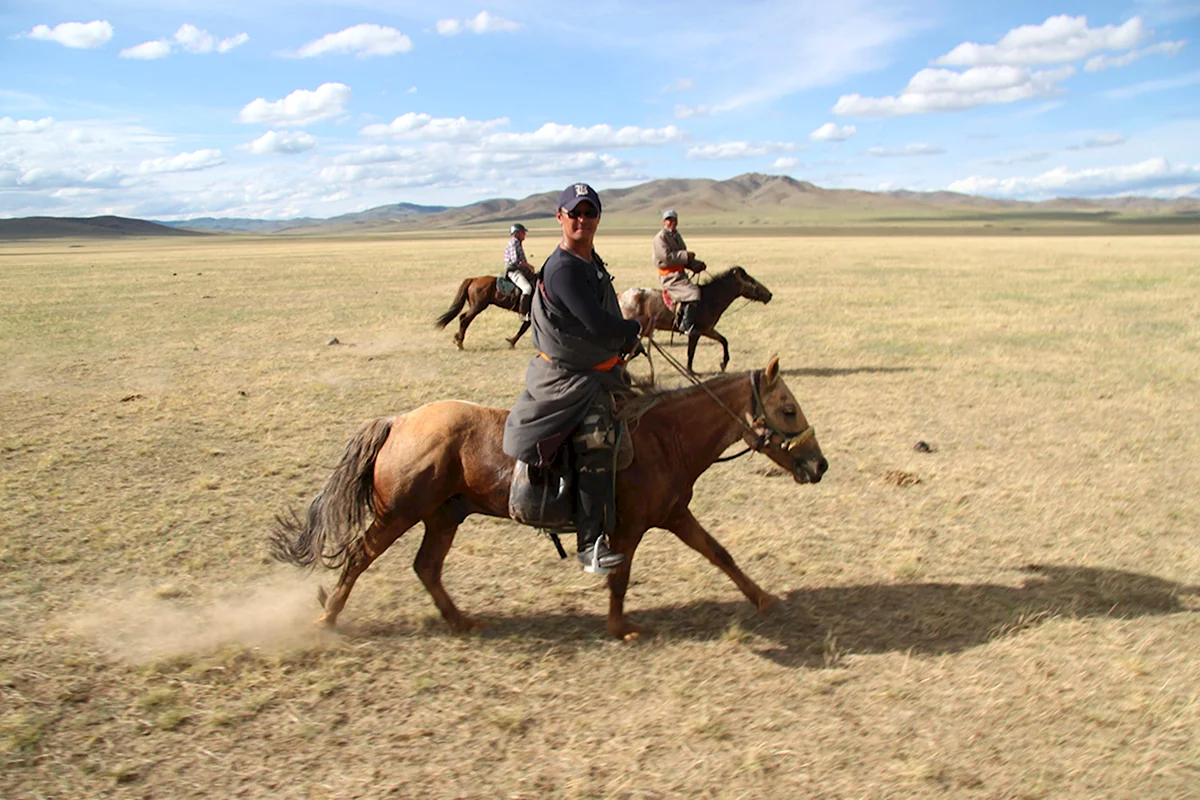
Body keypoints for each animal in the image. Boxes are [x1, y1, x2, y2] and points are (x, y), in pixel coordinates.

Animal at [267, 355, 825, 638]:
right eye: (789, 409)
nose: (819, 465)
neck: (665, 436)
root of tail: (399, 421)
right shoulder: (627, 528)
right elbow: (619, 575)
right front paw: (620, 628)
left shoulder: (673, 515)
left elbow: (720, 554)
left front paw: (765, 598)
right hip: (398, 513)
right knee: (360, 557)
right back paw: (326, 619)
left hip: (444, 515)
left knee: (426, 567)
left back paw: (462, 621)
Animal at [614, 266, 772, 371]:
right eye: (751, 281)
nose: (769, 295)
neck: (709, 299)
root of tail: (620, 295)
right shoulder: (695, 332)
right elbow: (691, 352)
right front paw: (690, 371)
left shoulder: (707, 330)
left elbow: (723, 340)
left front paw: (724, 363)